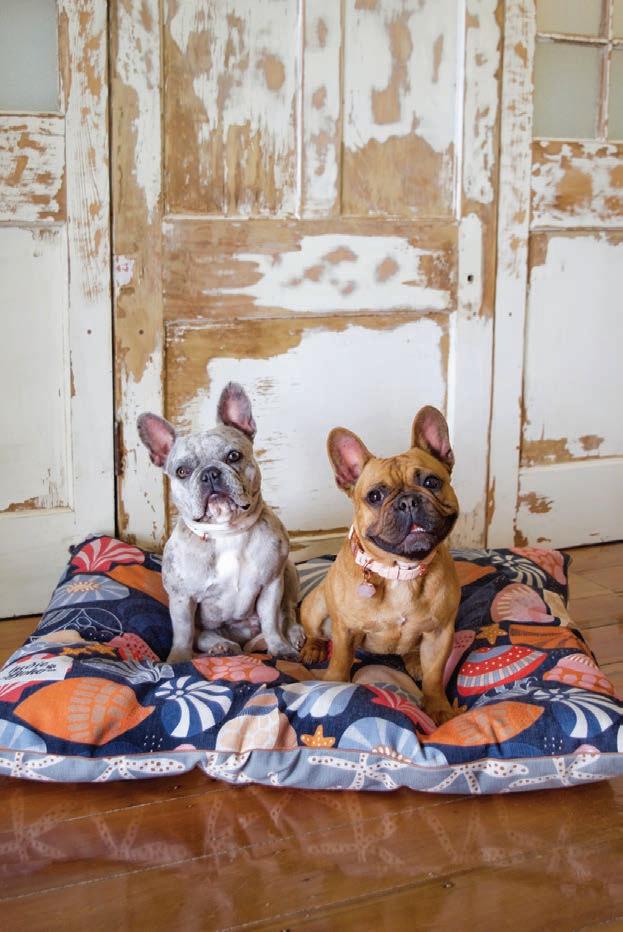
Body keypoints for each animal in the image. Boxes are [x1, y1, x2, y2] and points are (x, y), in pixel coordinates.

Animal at [137, 382, 303, 663]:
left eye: (233, 456)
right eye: (182, 471)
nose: (210, 473)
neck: (227, 532)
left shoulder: (271, 585)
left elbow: (271, 621)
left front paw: (280, 648)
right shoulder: (181, 599)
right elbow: (183, 633)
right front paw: (178, 660)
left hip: (289, 572)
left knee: (287, 613)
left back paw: (292, 635)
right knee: (202, 637)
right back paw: (222, 646)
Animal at [300, 406, 460, 724]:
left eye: (431, 482)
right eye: (375, 496)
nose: (409, 501)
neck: (400, 571)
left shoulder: (440, 633)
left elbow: (435, 675)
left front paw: (437, 708)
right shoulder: (345, 631)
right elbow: (340, 662)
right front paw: (333, 687)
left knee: (414, 653)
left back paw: (414, 661)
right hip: (316, 607)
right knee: (313, 631)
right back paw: (312, 648)